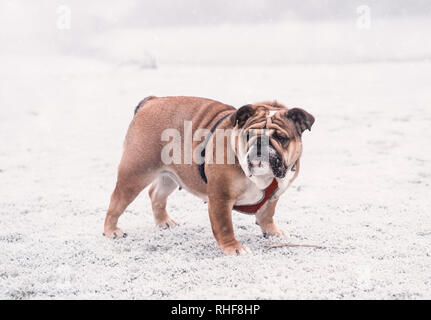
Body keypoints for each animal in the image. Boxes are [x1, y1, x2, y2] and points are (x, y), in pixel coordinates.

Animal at [103, 96, 316, 256]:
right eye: (248, 135)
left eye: (281, 138)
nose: (260, 143)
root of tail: (151, 101)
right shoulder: (221, 197)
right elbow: (224, 225)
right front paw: (233, 248)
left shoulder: (274, 196)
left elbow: (267, 214)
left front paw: (272, 232)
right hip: (135, 173)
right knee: (116, 201)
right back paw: (111, 231)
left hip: (171, 175)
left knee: (156, 194)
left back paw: (164, 221)